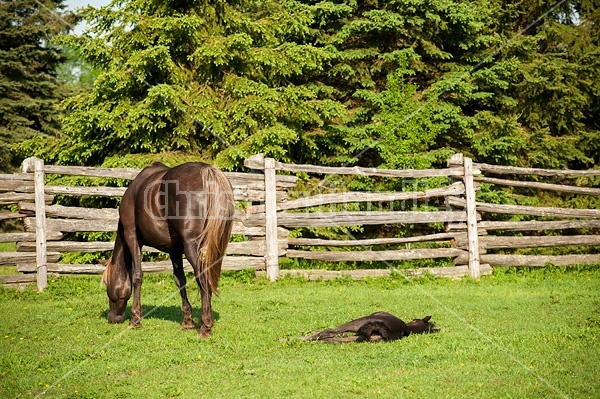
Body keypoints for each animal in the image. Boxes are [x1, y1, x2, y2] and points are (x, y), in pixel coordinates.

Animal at [101, 162, 234, 338]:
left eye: (107, 284)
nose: (113, 318)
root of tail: (206, 170)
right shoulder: (174, 250)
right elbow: (180, 281)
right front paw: (187, 321)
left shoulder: (131, 236)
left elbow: (137, 276)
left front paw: (135, 319)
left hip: (192, 247)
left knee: (202, 278)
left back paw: (205, 325)